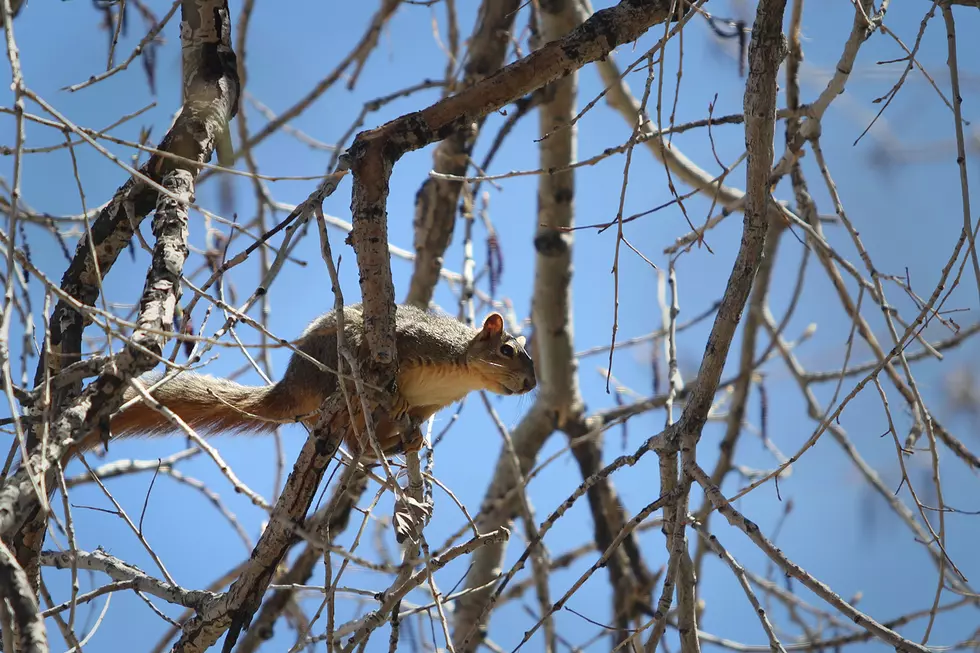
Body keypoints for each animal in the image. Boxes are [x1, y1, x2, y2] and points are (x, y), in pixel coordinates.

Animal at [74, 302, 536, 458]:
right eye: (507, 351)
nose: (532, 384)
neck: (462, 373)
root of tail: (291, 385)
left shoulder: (433, 404)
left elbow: (419, 416)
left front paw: (416, 434)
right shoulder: (415, 339)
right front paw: (397, 400)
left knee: (360, 447)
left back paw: (395, 444)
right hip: (333, 370)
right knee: (354, 435)